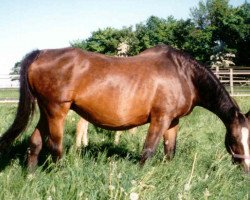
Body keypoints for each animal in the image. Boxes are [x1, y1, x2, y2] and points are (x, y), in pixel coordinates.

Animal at [0, 45, 250, 172]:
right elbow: (148, 150)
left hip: (46, 111)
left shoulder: (173, 121)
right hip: (56, 111)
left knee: (35, 143)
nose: (246, 168)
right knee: (55, 147)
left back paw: (30, 176)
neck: (184, 74)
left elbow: (170, 151)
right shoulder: (160, 119)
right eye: (234, 139)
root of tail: (41, 54)